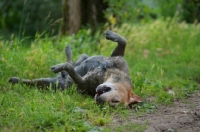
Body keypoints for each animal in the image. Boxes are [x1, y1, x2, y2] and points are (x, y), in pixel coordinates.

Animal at [8, 30, 141, 106]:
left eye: (114, 102)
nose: (99, 100)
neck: (112, 73)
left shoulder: (83, 82)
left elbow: (69, 68)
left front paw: (61, 66)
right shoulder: (117, 57)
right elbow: (123, 41)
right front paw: (113, 35)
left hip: (48, 83)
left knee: (31, 82)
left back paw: (15, 80)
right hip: (83, 57)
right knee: (76, 60)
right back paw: (68, 52)